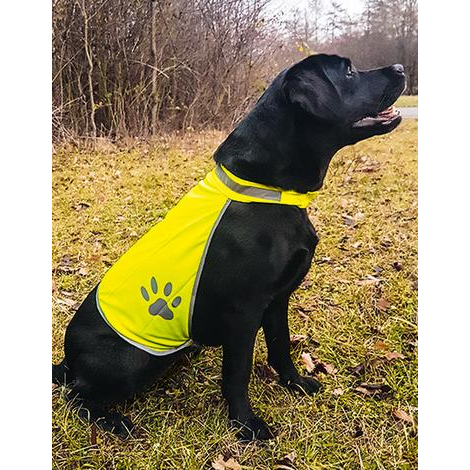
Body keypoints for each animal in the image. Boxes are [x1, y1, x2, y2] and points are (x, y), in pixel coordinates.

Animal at [50, 54, 404, 440]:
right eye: (350, 72)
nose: (401, 69)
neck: (269, 190)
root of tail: (66, 361)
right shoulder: (243, 312)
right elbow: (238, 373)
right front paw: (246, 425)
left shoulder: (277, 299)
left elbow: (281, 346)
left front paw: (295, 384)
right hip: (129, 362)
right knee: (76, 396)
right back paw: (113, 420)